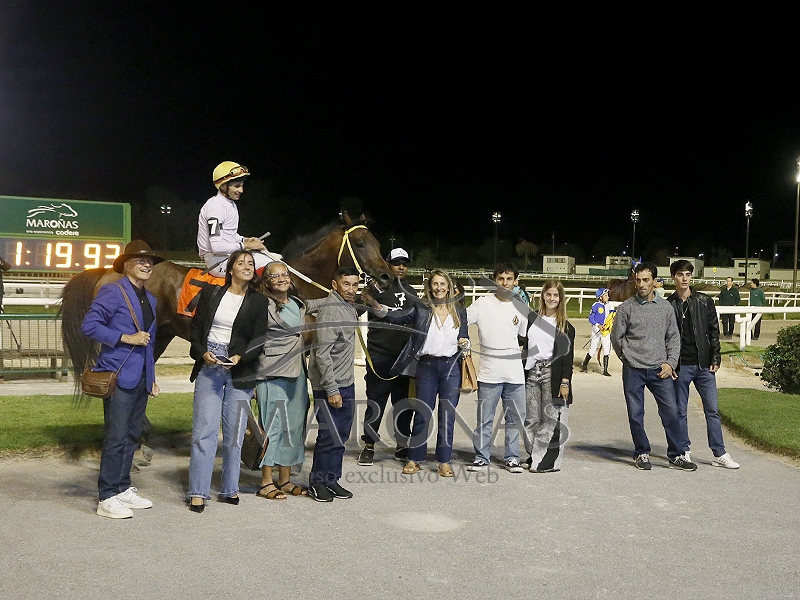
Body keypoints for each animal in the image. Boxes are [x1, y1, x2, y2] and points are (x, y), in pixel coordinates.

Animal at [60, 211, 391, 388]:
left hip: (161, 335)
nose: (386, 276)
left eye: (377, 241)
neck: (296, 284)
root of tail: (109, 270)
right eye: (360, 243)